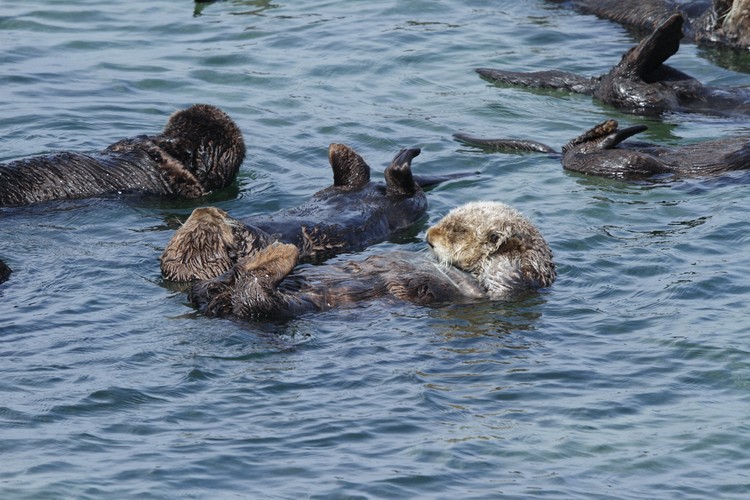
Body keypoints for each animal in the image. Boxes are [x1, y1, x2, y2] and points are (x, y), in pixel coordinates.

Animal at [161, 144, 469, 282]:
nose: (206, 209)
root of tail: (379, 188)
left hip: (350, 185)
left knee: (357, 173)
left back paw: (338, 151)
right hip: (406, 204)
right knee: (402, 184)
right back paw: (404, 158)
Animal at [186, 201, 556, 319]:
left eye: (458, 230)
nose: (429, 237)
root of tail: (218, 306)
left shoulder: (514, 285)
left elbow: (506, 271)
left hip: (283, 307)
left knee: (255, 298)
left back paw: (277, 256)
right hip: (215, 292)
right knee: (209, 287)